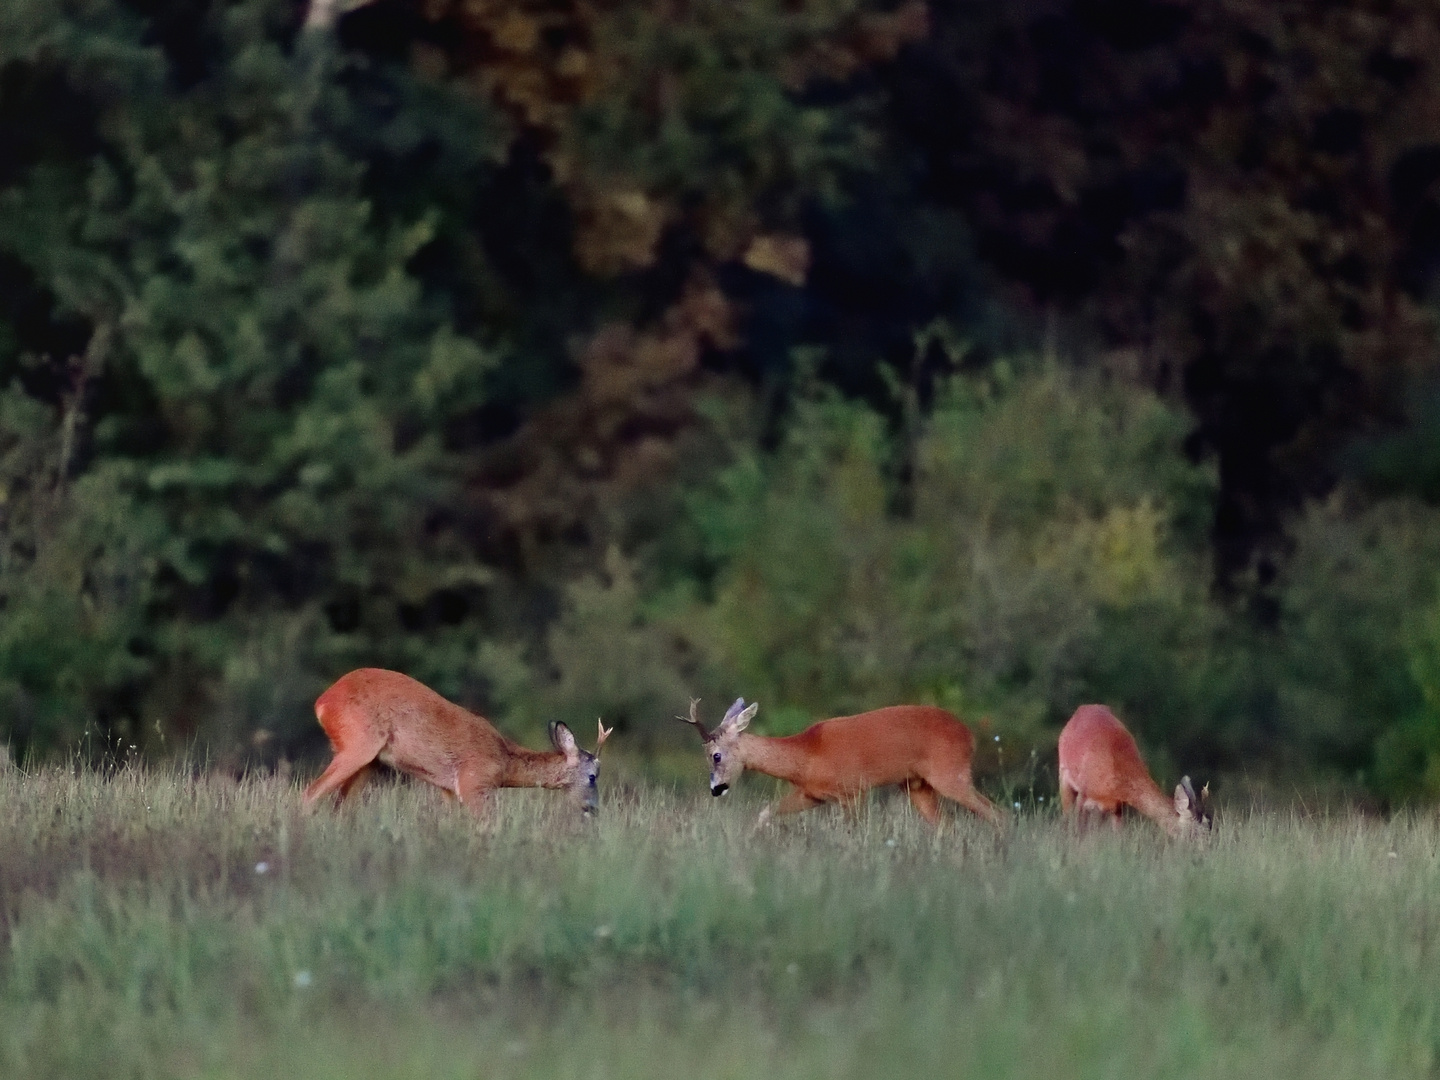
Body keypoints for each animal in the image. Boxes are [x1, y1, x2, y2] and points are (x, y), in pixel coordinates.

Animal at [303, 673, 613, 817]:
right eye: (593, 776)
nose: (593, 809)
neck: (503, 760)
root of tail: (322, 702)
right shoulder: (474, 782)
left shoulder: (448, 790)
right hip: (358, 745)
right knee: (310, 794)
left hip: (369, 761)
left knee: (341, 807)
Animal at [676, 702, 1002, 829]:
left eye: (715, 755)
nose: (716, 789)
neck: (807, 755)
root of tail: (970, 736)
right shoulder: (812, 794)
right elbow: (767, 811)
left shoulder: (852, 791)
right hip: (918, 786)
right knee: (946, 827)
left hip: (950, 773)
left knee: (999, 814)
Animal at [1054, 705, 1209, 840]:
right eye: (1195, 832)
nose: (1204, 850)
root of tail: (1083, 708)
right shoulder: (1084, 793)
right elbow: (1078, 833)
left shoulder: (1117, 805)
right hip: (1064, 778)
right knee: (1067, 819)